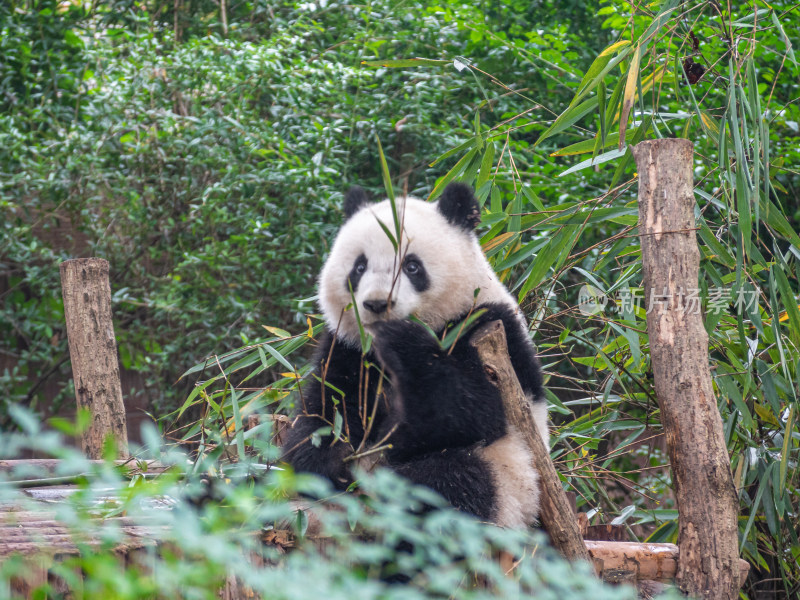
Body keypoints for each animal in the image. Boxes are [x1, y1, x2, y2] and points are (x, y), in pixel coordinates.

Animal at [278, 182, 548, 524]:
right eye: (359, 267)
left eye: (412, 266)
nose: (377, 304)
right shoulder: (347, 349)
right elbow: (325, 413)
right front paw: (325, 466)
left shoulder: (486, 329)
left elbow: (472, 410)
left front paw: (404, 340)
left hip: (510, 480)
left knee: (451, 481)